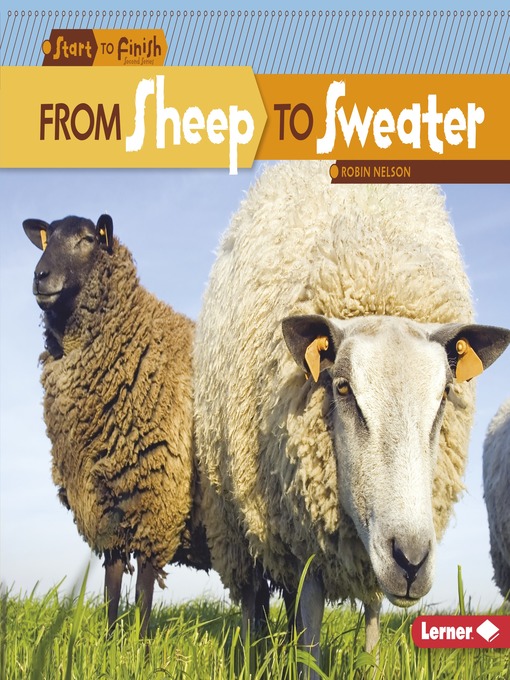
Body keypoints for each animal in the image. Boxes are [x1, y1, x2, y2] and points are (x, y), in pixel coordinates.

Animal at [23, 214, 210, 636]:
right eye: (46, 238)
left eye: (88, 239)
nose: (40, 277)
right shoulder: (103, 505)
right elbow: (111, 584)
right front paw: (109, 641)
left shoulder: (156, 498)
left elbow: (143, 590)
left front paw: (140, 644)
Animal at [193, 160, 510, 670]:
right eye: (342, 388)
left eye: (444, 393)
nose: (411, 560)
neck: (375, 257)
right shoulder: (305, 533)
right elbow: (311, 629)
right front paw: (302, 663)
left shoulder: (367, 551)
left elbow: (373, 620)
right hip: (235, 521)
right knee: (252, 599)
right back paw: (254, 654)